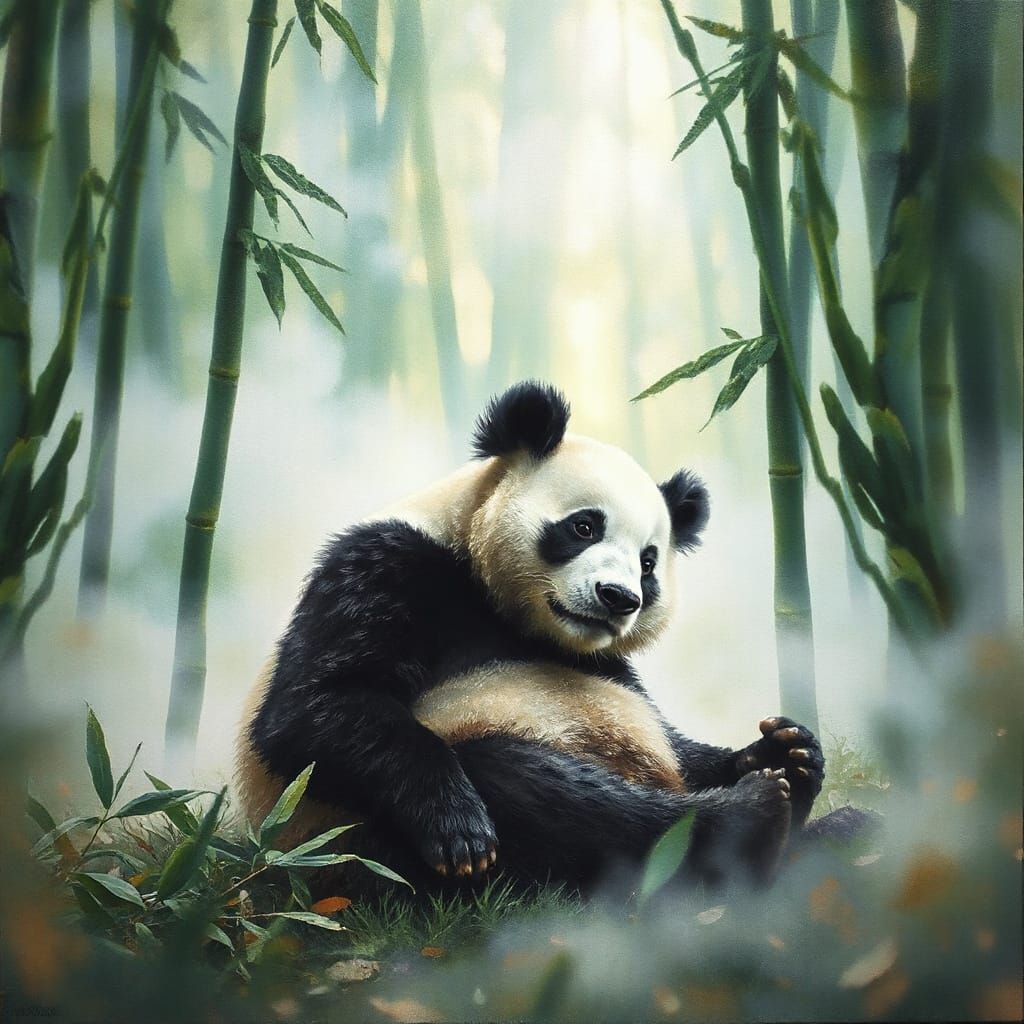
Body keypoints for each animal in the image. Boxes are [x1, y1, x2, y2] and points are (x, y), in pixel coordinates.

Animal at [235, 381, 830, 896]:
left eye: (648, 562)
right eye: (584, 526)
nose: (618, 597)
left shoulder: (611, 665)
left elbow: (673, 739)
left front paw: (784, 745)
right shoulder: (384, 567)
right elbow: (310, 708)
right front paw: (458, 830)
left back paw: (787, 773)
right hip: (363, 846)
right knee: (532, 788)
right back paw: (747, 816)